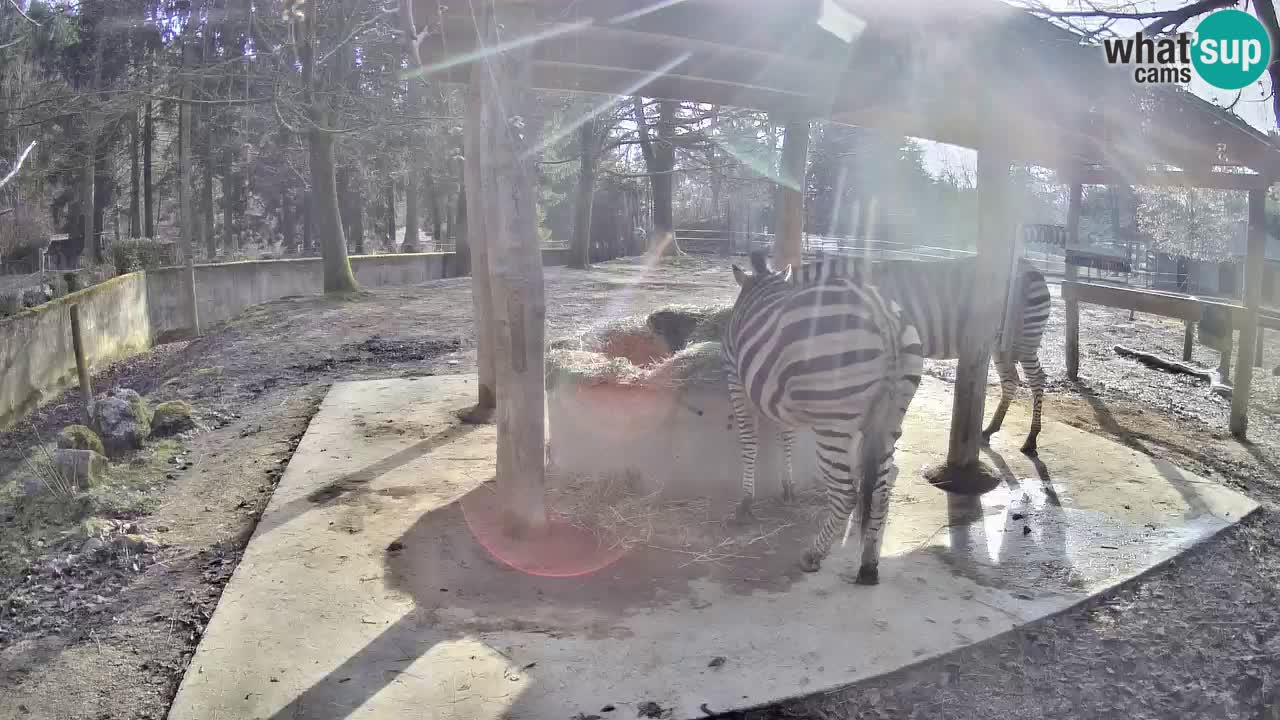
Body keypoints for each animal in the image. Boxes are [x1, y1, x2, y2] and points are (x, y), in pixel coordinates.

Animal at [721, 252, 921, 576]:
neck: (764, 283)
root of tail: (881, 314)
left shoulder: (734, 378)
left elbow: (749, 442)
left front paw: (746, 503)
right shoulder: (779, 395)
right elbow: (786, 436)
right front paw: (788, 488)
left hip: (833, 423)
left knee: (846, 494)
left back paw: (812, 555)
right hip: (893, 416)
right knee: (880, 490)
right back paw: (869, 563)